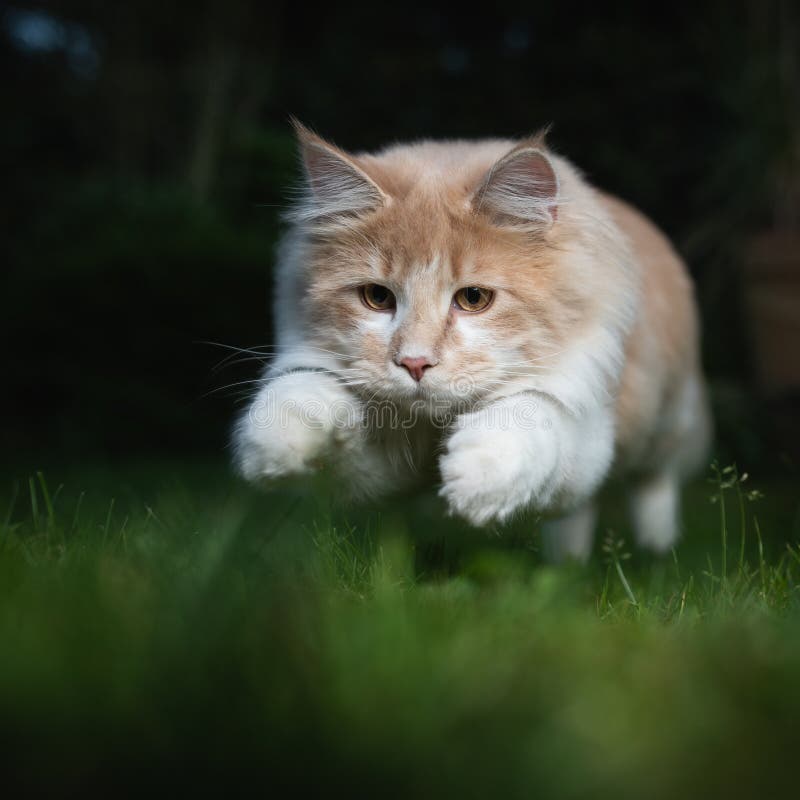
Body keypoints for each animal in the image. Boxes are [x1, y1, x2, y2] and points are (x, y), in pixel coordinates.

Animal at [233, 123, 712, 564]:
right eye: (377, 298)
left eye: (474, 299)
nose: (415, 363)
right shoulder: (381, 473)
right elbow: (306, 393)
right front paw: (271, 446)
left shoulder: (584, 430)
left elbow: (527, 416)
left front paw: (477, 477)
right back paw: (568, 567)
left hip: (663, 423)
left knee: (655, 480)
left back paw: (656, 554)